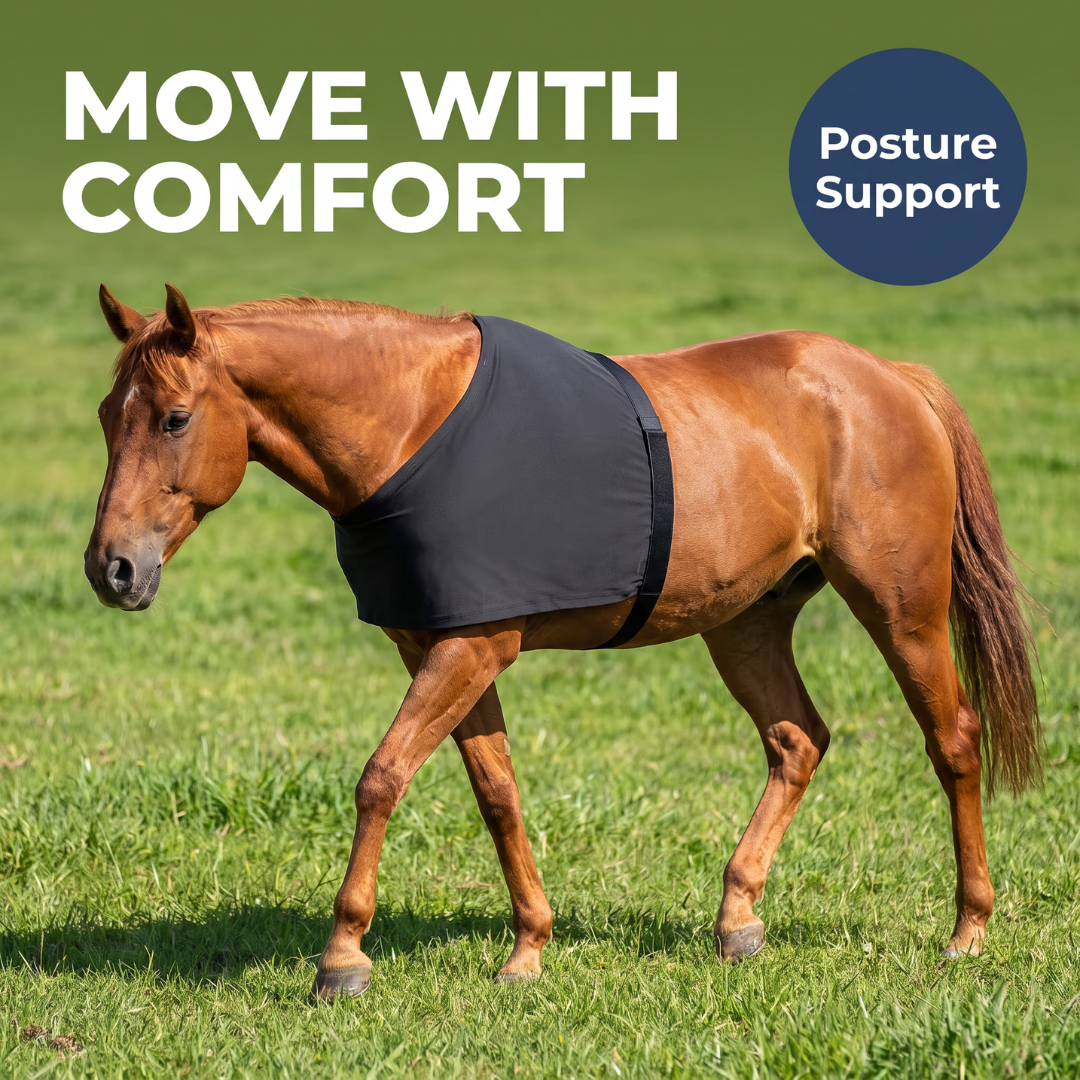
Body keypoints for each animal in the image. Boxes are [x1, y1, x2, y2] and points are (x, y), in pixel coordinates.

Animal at [85, 283, 1040, 1002]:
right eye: (105, 416)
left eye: (173, 419)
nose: (111, 568)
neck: (413, 425)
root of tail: (889, 376)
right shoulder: (441, 648)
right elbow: (496, 793)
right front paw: (528, 948)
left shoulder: (470, 650)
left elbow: (381, 779)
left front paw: (343, 956)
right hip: (745, 624)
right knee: (797, 741)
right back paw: (738, 919)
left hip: (901, 612)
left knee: (953, 740)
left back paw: (967, 928)